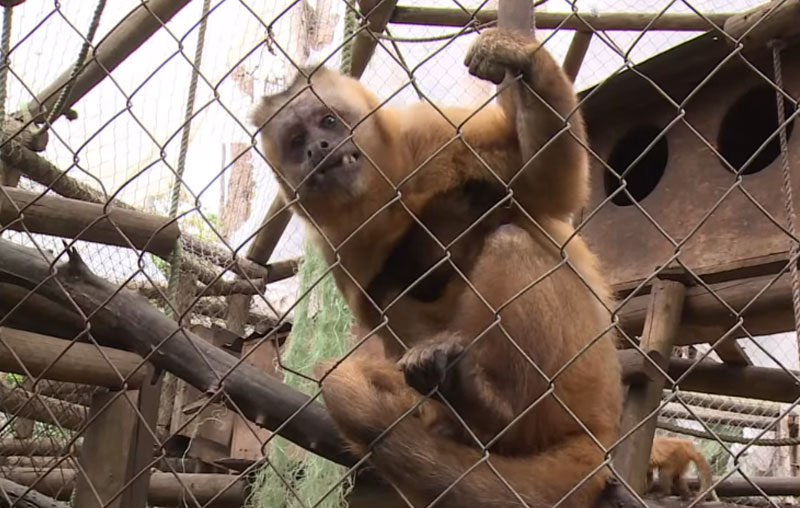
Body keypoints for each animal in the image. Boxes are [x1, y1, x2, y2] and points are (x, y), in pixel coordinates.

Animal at [253, 26, 620, 508]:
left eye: (328, 121)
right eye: (296, 140)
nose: (318, 147)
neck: (387, 193)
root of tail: (601, 426)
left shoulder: (432, 131)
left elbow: (551, 188)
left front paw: (521, 60)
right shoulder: (335, 245)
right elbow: (380, 303)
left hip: (576, 382)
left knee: (509, 241)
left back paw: (493, 410)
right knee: (393, 291)